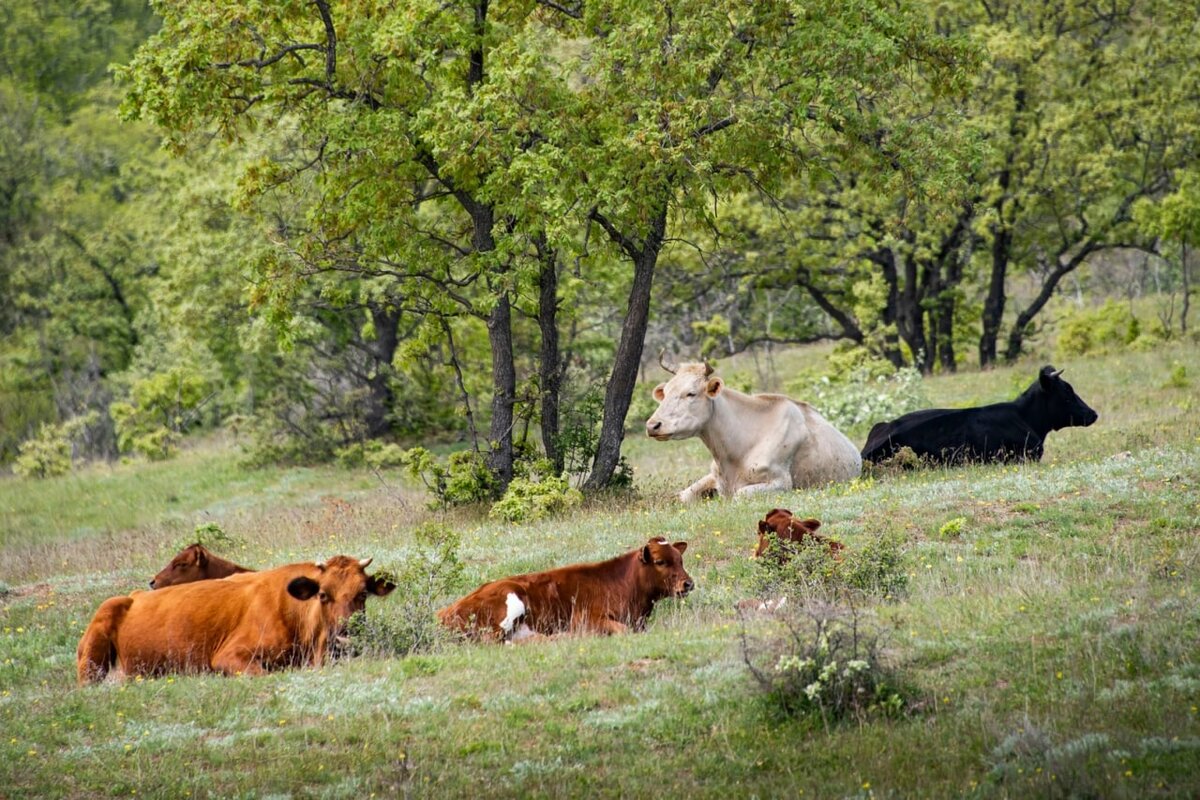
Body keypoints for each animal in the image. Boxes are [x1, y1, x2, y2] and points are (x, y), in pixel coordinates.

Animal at [439, 537, 696, 642]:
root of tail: (444, 611)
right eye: (661, 562)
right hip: (508, 603)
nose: (688, 583)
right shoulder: (585, 618)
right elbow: (622, 630)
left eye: (680, 559)